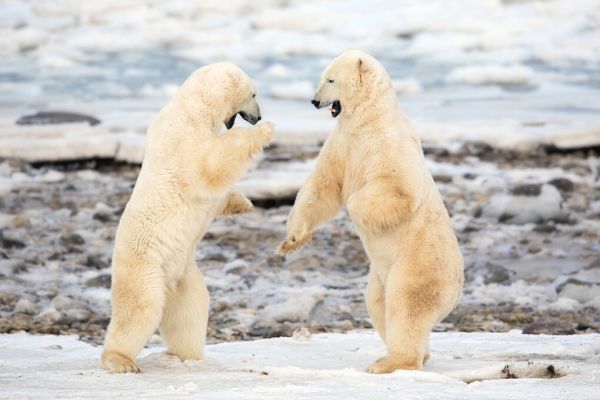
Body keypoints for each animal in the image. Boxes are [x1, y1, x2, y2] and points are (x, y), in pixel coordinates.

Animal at [101, 61, 274, 372]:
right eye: (254, 94)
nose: (259, 117)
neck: (193, 107)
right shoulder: (183, 139)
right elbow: (212, 165)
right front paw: (267, 131)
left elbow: (214, 190)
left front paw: (244, 203)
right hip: (145, 267)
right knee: (138, 310)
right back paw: (120, 360)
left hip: (183, 275)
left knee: (191, 311)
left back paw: (188, 355)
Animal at [276, 51, 464, 374]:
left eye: (330, 79)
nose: (314, 101)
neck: (369, 117)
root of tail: (457, 289)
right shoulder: (342, 143)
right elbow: (322, 186)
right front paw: (291, 241)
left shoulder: (385, 144)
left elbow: (399, 187)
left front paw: (355, 209)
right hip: (380, 276)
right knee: (377, 304)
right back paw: (408, 355)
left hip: (417, 265)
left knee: (405, 305)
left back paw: (391, 362)